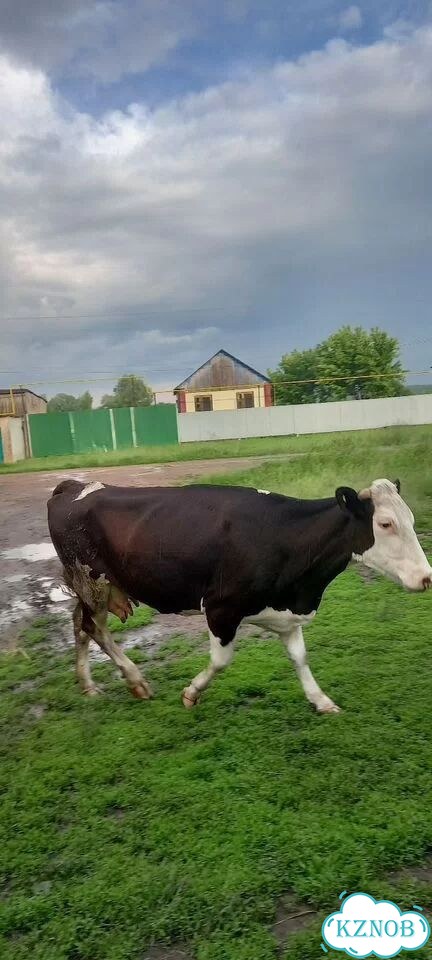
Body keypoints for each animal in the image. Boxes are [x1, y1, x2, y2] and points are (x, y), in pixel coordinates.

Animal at [47, 477, 432, 714]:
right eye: (385, 524)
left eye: (412, 520)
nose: (427, 577)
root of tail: (74, 485)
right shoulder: (221, 608)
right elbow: (220, 661)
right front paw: (191, 693)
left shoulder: (287, 611)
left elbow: (300, 658)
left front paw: (320, 700)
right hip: (91, 580)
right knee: (94, 628)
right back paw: (135, 681)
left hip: (92, 586)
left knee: (79, 624)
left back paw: (88, 685)